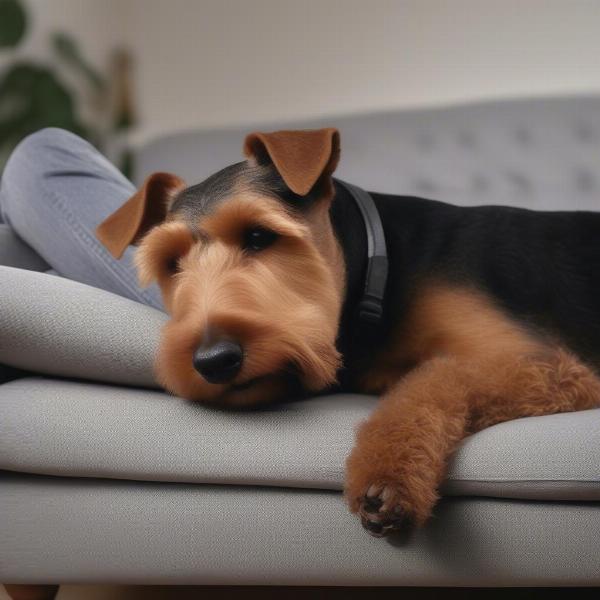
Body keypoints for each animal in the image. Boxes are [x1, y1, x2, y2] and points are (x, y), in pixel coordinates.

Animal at [96, 127, 600, 540]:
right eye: (171, 263)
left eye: (259, 236)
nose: (213, 360)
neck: (383, 263)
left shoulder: (548, 364)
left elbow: (434, 380)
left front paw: (388, 482)